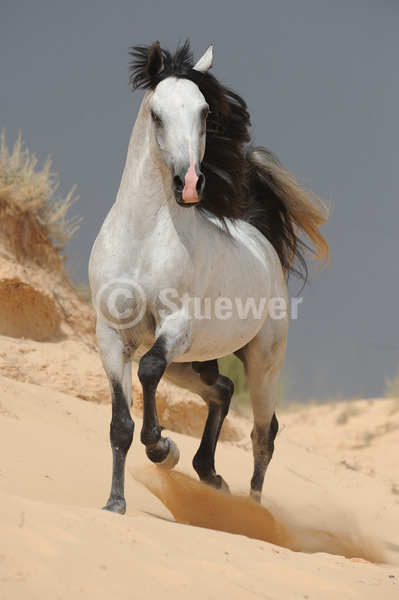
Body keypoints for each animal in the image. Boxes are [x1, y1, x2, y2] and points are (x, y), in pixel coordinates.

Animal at [89, 39, 330, 512]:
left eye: (205, 113)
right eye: (156, 114)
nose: (189, 185)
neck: (142, 240)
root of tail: (259, 239)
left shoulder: (175, 327)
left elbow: (148, 370)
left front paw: (162, 448)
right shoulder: (111, 336)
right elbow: (119, 425)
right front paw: (114, 504)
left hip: (261, 362)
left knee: (263, 433)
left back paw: (252, 512)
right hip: (192, 365)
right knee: (222, 390)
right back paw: (209, 474)